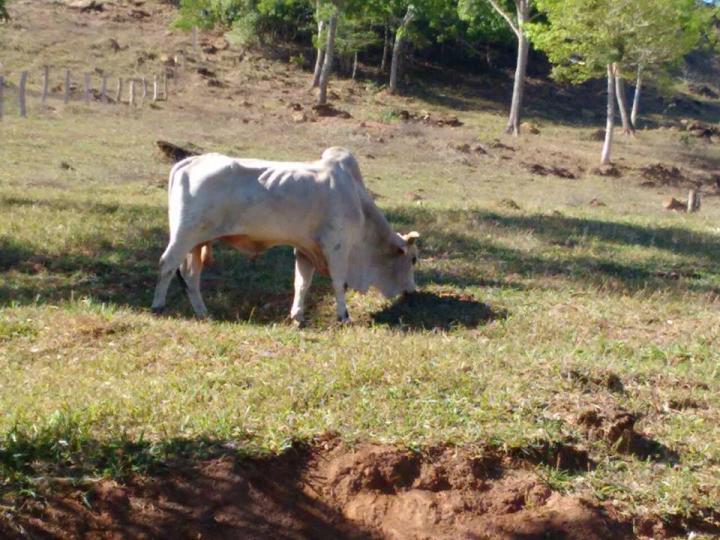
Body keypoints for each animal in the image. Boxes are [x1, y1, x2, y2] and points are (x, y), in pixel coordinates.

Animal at [153, 148, 422, 322]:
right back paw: (158, 306)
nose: (412, 292)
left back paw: (203, 313)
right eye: (413, 259)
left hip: (198, 243)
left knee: (190, 275)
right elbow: (338, 282)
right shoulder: (337, 246)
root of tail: (188, 162)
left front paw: (298, 316)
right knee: (167, 265)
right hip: (184, 236)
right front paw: (344, 317)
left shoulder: (305, 250)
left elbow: (301, 283)